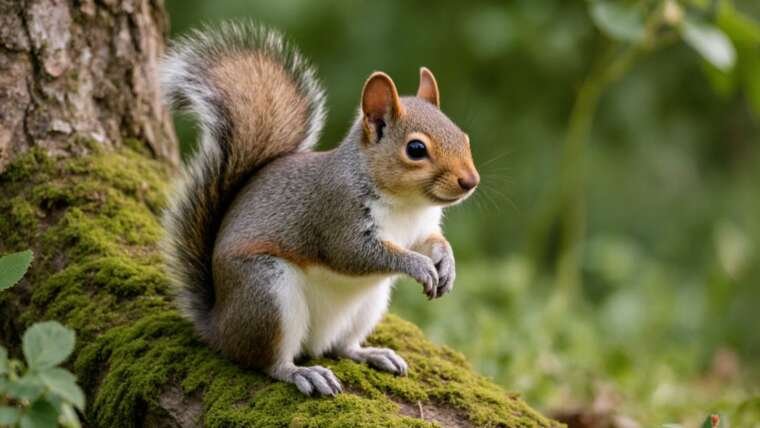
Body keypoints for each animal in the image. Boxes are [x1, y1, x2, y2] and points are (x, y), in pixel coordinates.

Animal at [160, 22, 479, 397]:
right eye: (416, 149)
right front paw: (419, 266)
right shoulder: (336, 215)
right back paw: (302, 372)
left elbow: (432, 242)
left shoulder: (420, 229)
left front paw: (446, 264)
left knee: (339, 346)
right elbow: (355, 254)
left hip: (368, 305)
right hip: (268, 293)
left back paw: (372, 353)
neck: (407, 205)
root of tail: (219, 325)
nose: (470, 181)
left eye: (464, 137)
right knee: (266, 361)